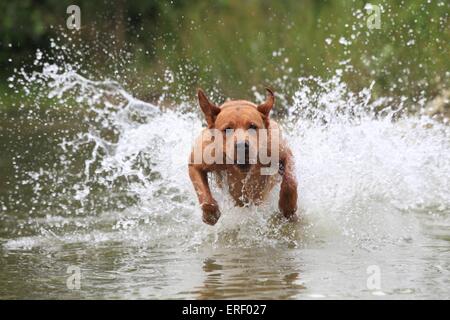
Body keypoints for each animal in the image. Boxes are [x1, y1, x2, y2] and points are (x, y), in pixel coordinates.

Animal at [188, 87, 298, 225]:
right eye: (227, 129)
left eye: (252, 126)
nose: (241, 145)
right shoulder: (197, 161)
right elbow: (203, 194)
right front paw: (210, 214)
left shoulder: (280, 151)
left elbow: (290, 180)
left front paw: (287, 206)